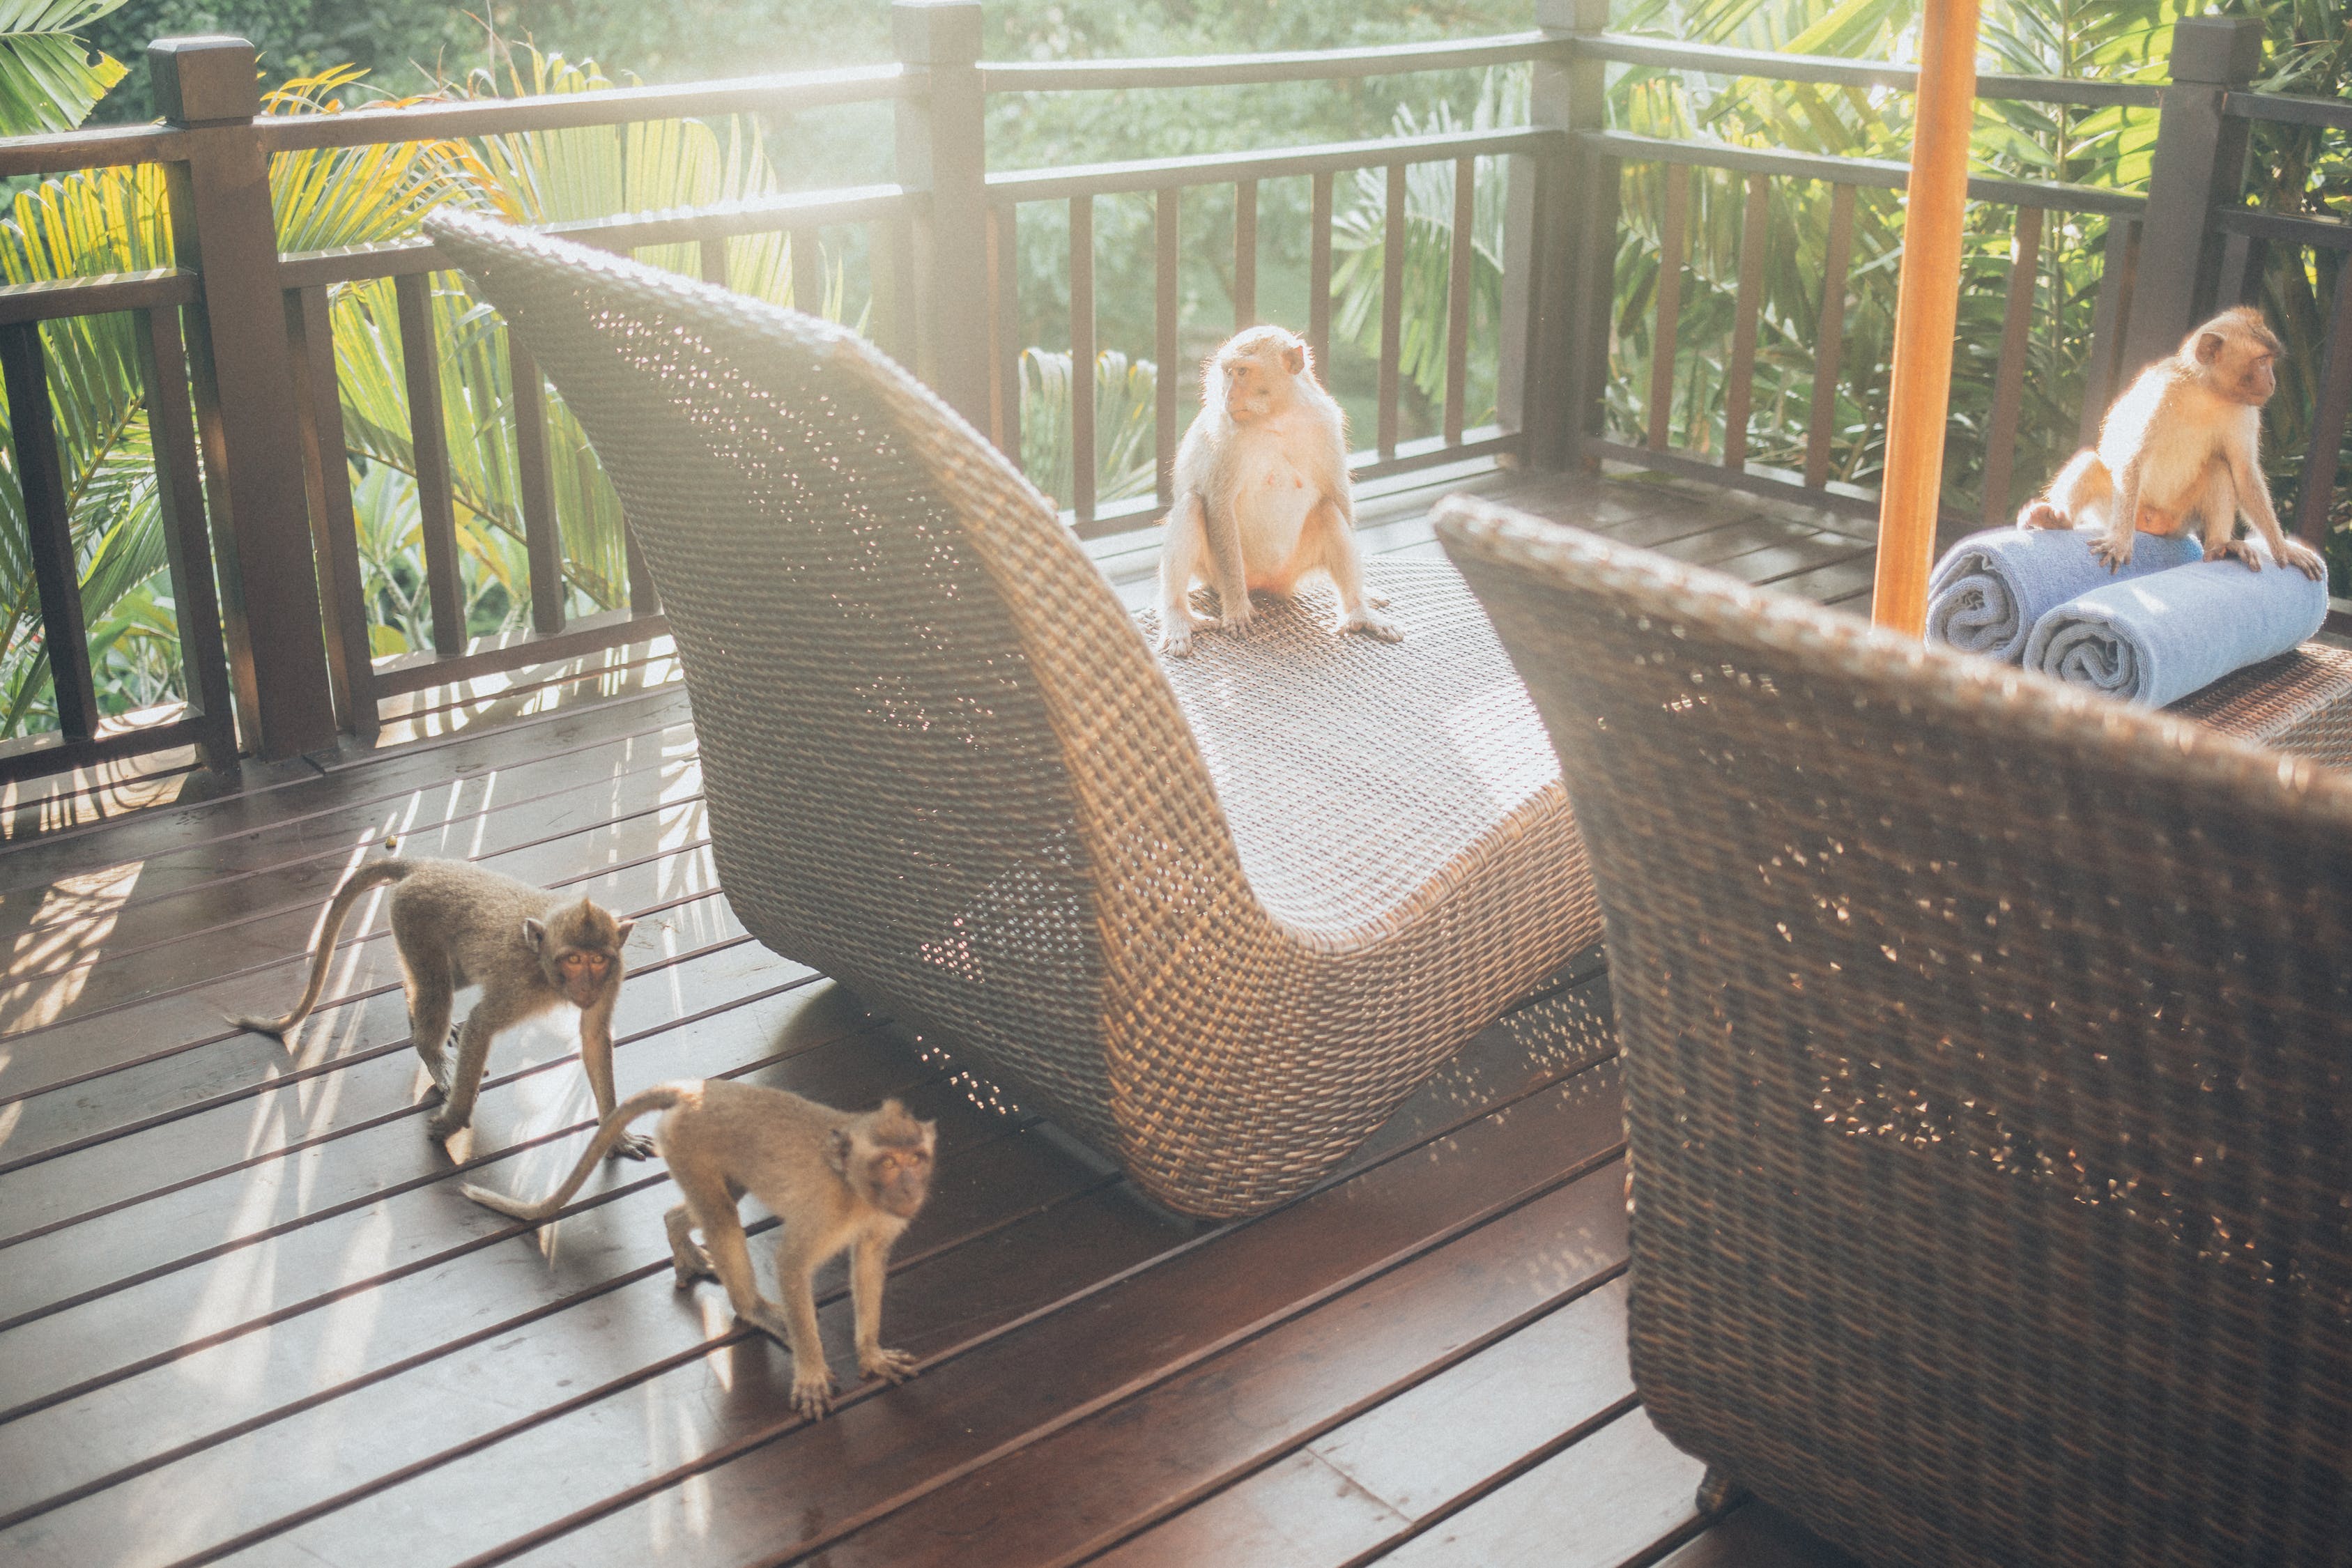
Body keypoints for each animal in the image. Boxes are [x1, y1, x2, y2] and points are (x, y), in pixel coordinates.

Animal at [231, 851, 654, 1161]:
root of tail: (424, 865)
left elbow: (594, 1039)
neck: (545, 969)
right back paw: (430, 1049)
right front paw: (454, 1121)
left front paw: (616, 1134)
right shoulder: (521, 986)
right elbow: (481, 1025)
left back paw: (414, 1016)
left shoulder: (612, 978)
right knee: (436, 988)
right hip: (412, 919)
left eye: (597, 960)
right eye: (573, 960)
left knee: (444, 979)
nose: (586, 986)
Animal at [459, 1086, 936, 1420]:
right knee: (722, 1218)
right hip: (686, 1144)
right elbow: (791, 1266)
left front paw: (871, 1355)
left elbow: (869, 1261)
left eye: (916, 1159)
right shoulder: (825, 1213)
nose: (910, 1189)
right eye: (889, 1163)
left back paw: (679, 1233)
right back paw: (752, 1308)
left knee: (722, 1199)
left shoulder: (881, 1221)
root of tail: (695, 1091)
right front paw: (812, 1372)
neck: (857, 1190)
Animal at [1152, 324, 1392, 658]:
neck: (1277, 417)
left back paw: (1357, 611)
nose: (1228, 396)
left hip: (1294, 567)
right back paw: (1178, 615)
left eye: (1242, 371)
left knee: (1328, 510)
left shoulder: (1326, 424)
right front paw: (1237, 608)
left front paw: (1362, 592)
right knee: (1192, 505)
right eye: (1228, 372)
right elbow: (1220, 507)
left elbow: (1338, 496)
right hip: (1215, 572)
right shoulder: (1226, 439)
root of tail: (1268, 585)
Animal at [2013, 303, 2323, 581]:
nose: (2272, 382)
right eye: (2261, 361)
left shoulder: (2246, 411)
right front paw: (2120, 541)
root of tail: (2153, 523)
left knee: (2218, 467)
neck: (2207, 392)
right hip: (2113, 509)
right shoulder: (2162, 391)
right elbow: (2134, 456)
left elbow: (2243, 471)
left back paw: (2220, 545)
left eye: (2270, 361)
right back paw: (2060, 520)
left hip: (2181, 518)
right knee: (2091, 461)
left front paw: (2284, 548)